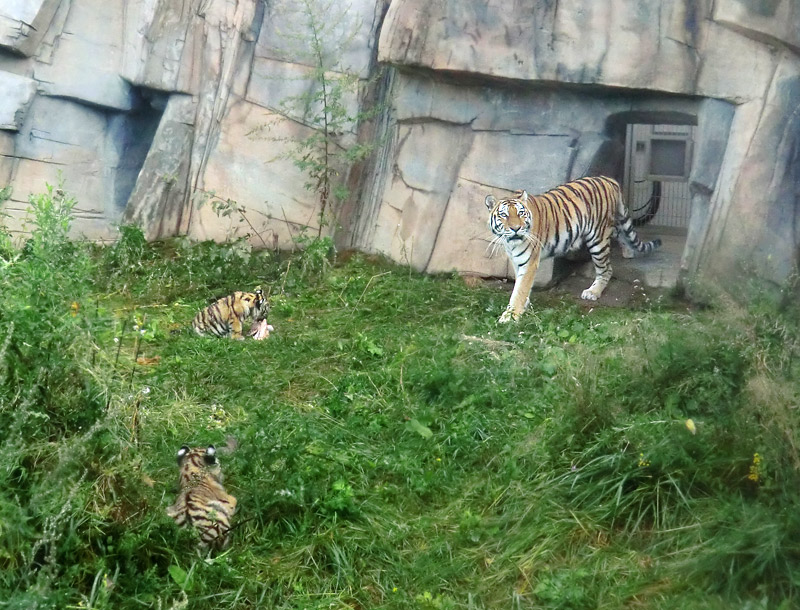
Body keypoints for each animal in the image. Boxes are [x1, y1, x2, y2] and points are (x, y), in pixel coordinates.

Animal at [482, 175, 664, 324]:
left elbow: (520, 289)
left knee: (606, 269)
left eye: (521, 213)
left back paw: (593, 291)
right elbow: (520, 286)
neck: (510, 242)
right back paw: (629, 252)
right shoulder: (516, 260)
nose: (516, 229)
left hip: (597, 238)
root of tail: (609, 180)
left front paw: (511, 316)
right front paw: (523, 306)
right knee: (620, 231)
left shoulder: (529, 263)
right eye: (504, 215)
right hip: (608, 228)